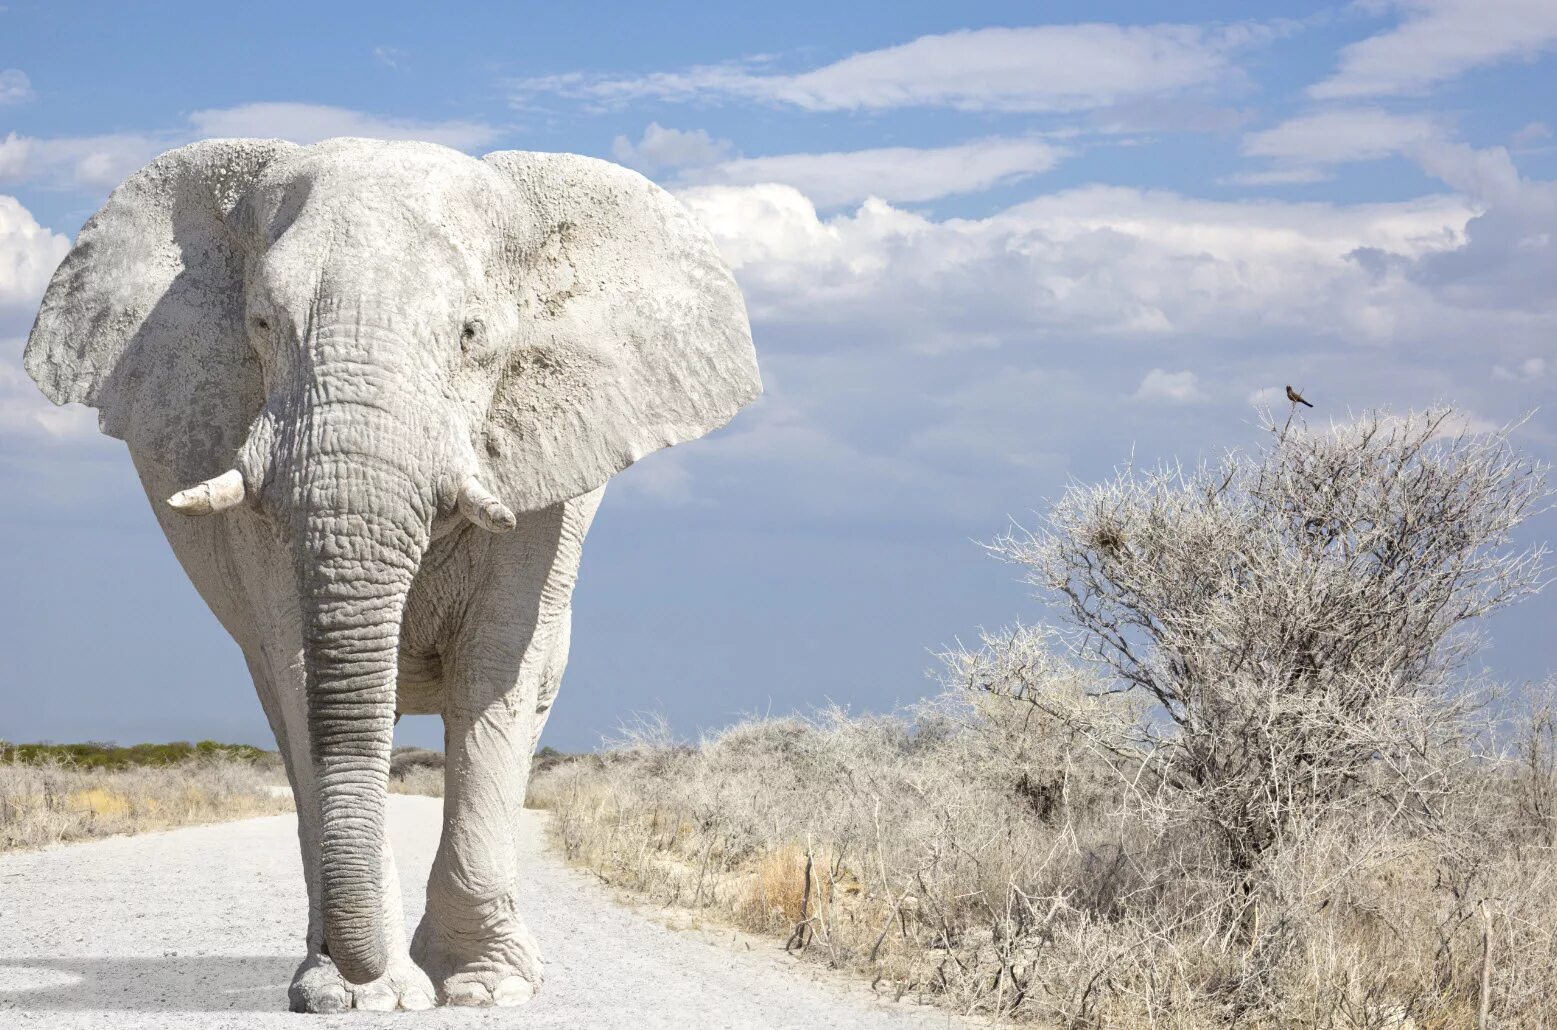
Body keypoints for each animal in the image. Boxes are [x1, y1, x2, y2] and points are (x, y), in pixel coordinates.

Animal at [21, 139, 756, 1014]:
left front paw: (486, 990)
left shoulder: (542, 493)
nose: (375, 973)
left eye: (472, 333)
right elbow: (301, 672)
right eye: (260, 324)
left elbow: (493, 671)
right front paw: (361, 997)